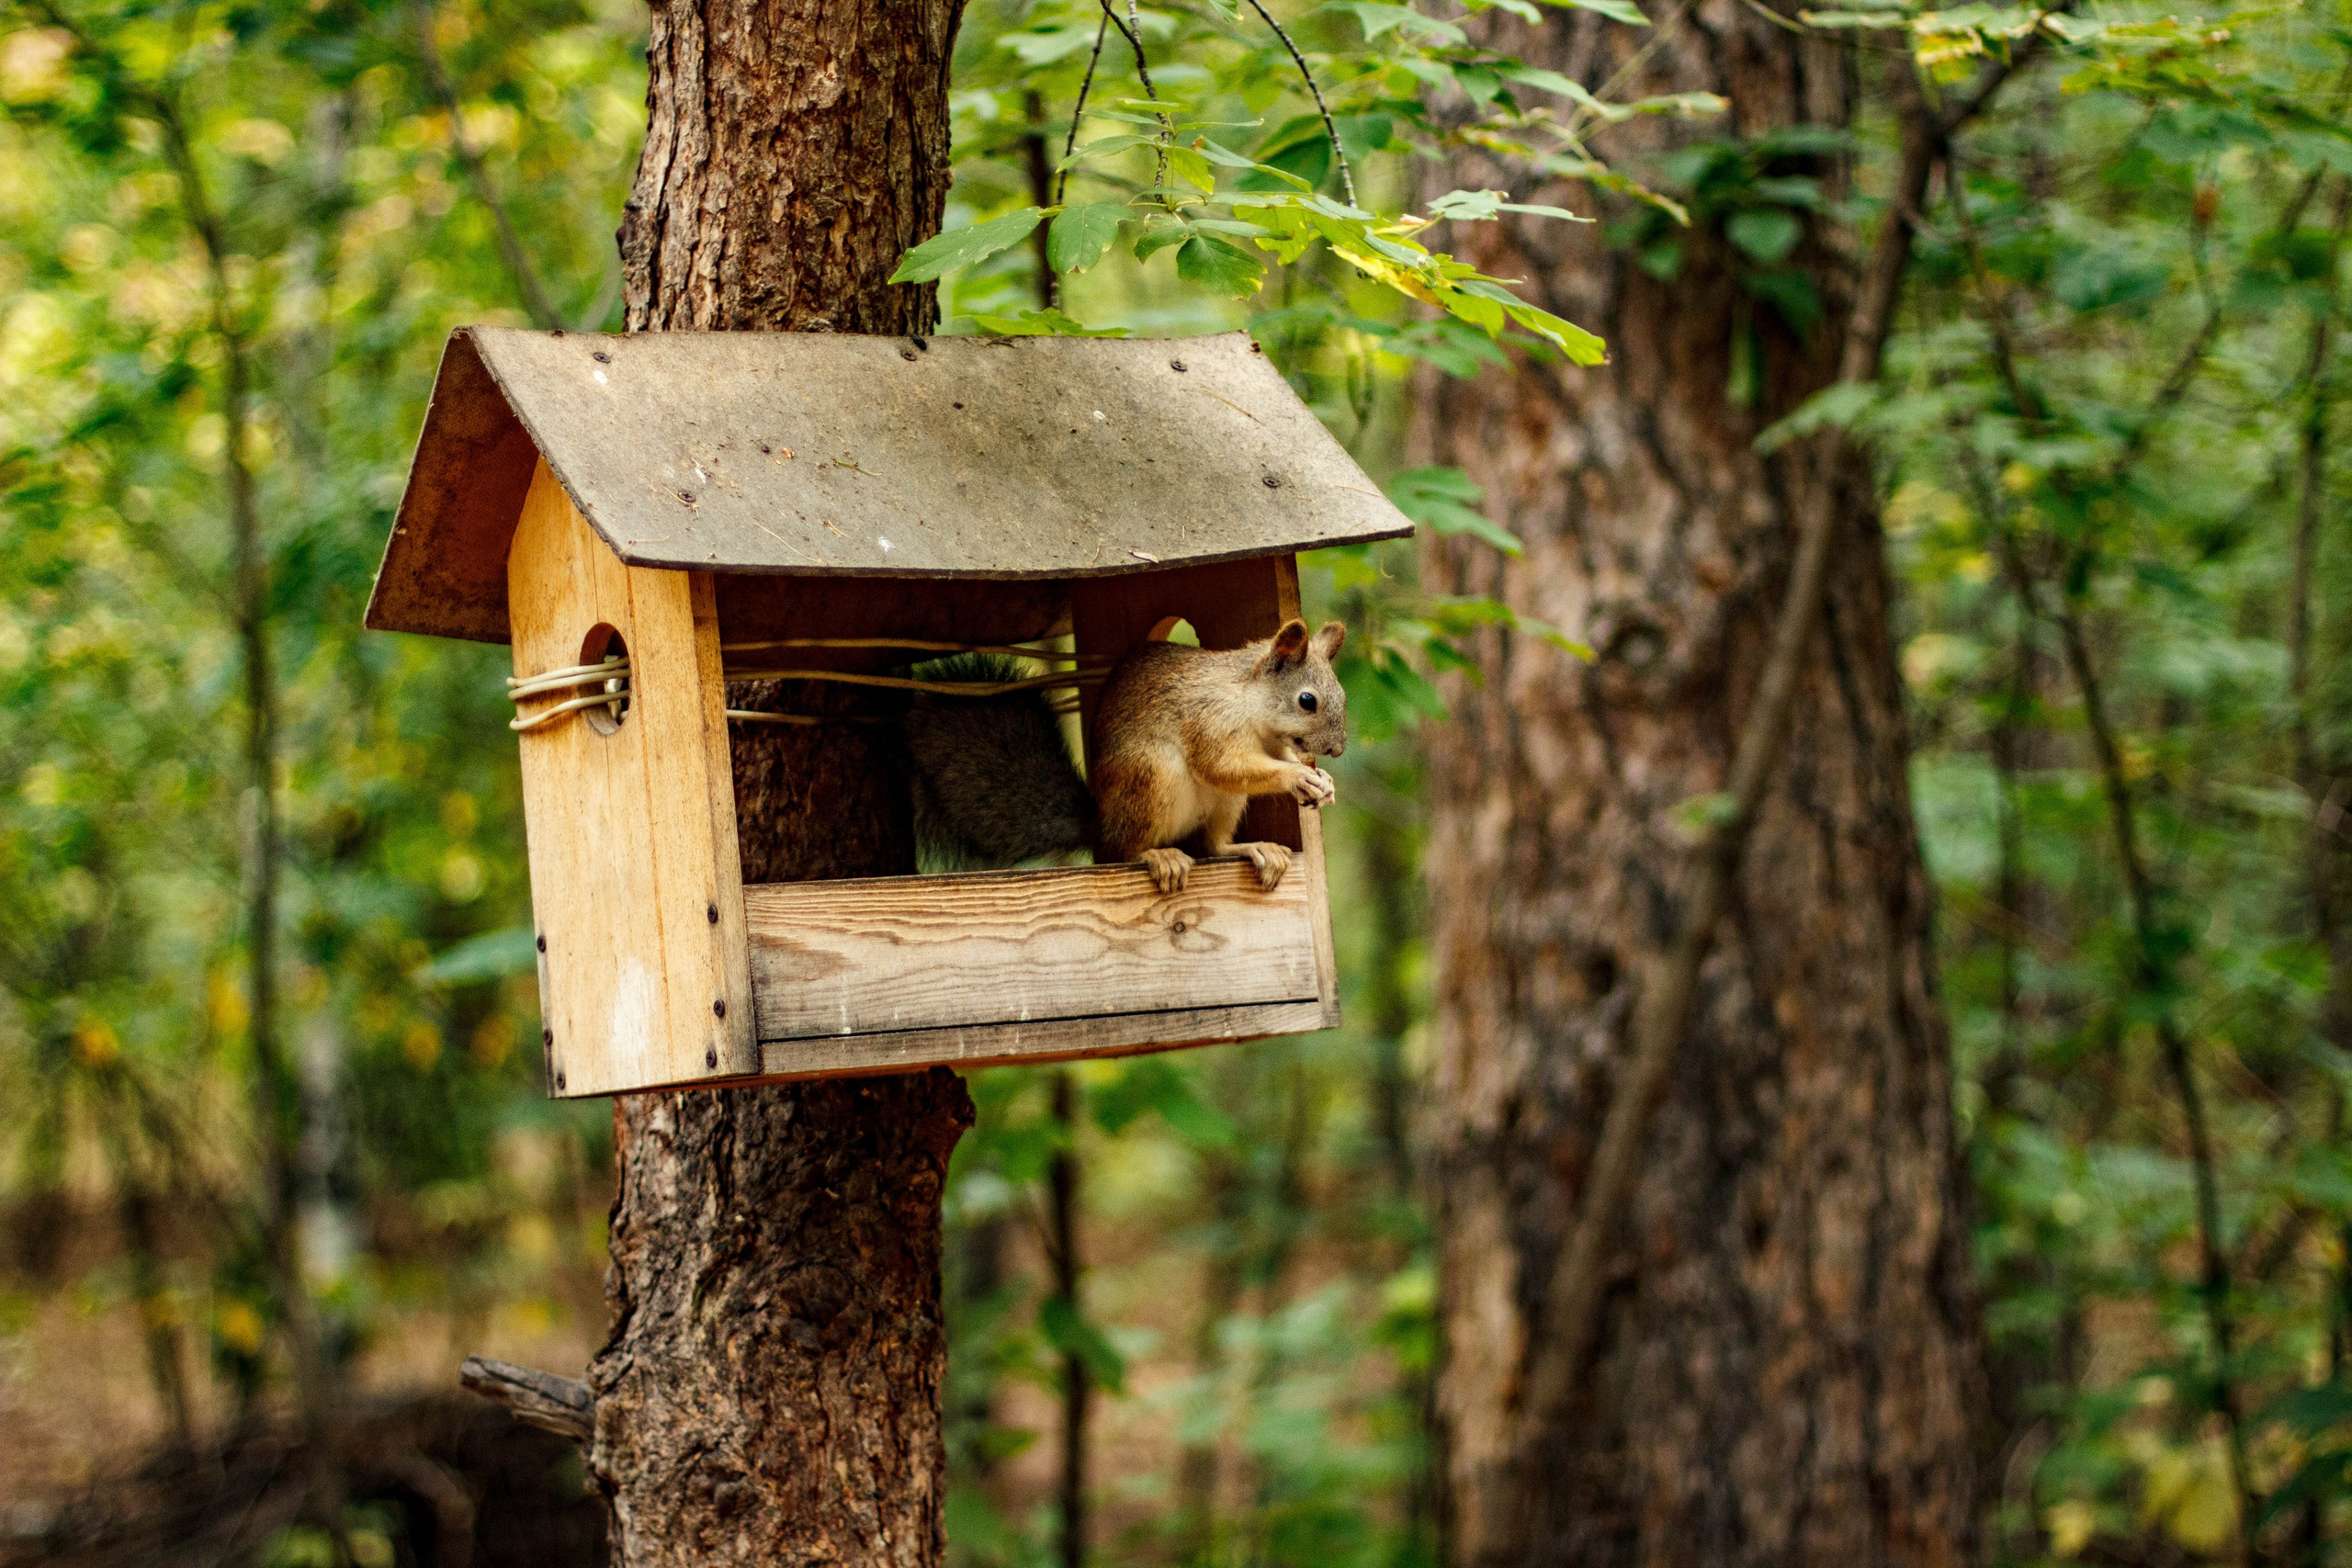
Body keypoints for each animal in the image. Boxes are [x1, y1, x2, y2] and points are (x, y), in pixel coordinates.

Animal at [901, 618, 1349, 893]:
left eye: (1342, 696)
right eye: (1307, 701)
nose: (1337, 750)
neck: (1253, 707)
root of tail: (1102, 825)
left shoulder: (1274, 744)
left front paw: (1324, 783)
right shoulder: (1209, 720)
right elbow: (1222, 765)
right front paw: (1297, 778)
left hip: (1223, 804)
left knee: (1211, 845)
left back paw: (1251, 849)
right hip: (1152, 773)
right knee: (1126, 851)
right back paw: (1157, 855)